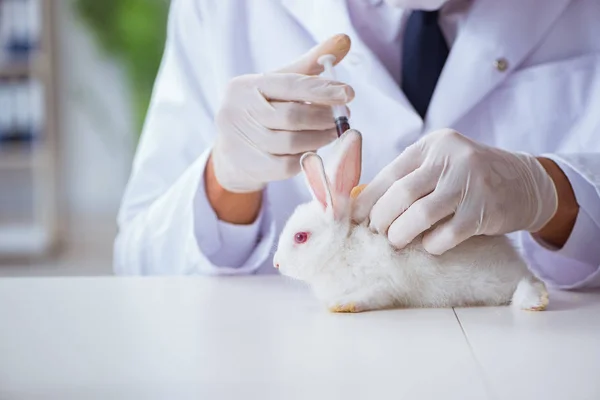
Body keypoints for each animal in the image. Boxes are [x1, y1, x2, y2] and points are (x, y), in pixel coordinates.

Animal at [274, 129, 552, 312]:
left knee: (527, 284)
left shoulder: (381, 283)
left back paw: (535, 302)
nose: (276, 264)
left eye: (300, 237)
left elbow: (371, 295)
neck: (341, 248)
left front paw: (342, 305)